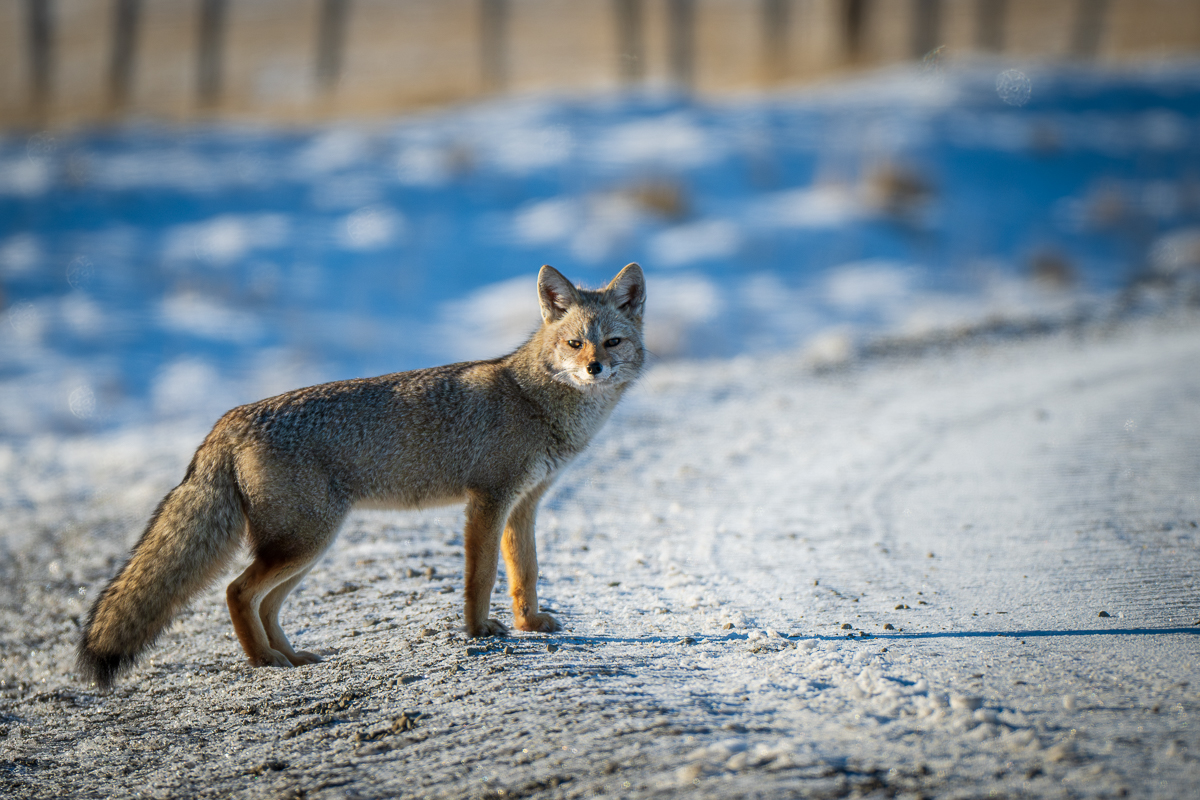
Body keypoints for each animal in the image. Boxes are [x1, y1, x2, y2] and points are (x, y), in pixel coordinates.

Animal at [77, 263, 646, 688]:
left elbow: (525, 572)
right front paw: (479, 630)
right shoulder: (487, 500)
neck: (534, 400)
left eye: (612, 342)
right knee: (237, 592)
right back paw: (263, 662)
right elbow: (481, 576)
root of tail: (228, 420)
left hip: (307, 548)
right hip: (303, 543)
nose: (594, 369)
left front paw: (530, 624)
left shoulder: (525, 504)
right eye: (574, 344)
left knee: (264, 603)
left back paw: (291, 656)